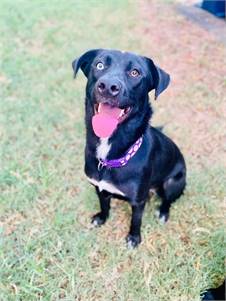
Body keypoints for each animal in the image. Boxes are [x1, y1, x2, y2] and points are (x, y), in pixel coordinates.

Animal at [71, 49, 186, 246]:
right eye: (99, 65)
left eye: (135, 73)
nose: (108, 86)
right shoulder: (99, 188)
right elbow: (104, 205)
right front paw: (101, 218)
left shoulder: (138, 201)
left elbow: (136, 220)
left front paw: (134, 238)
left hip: (174, 182)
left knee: (168, 200)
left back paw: (163, 213)